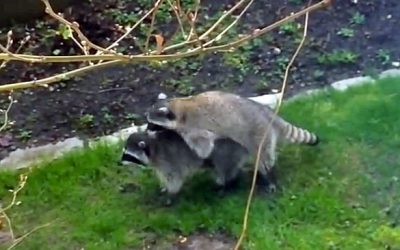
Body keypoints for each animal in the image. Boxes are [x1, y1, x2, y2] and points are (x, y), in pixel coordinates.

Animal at [120, 123, 248, 205]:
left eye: (129, 156)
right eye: (124, 153)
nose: (119, 163)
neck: (153, 145)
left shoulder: (167, 159)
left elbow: (174, 177)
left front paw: (171, 193)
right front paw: (164, 187)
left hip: (225, 149)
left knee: (224, 167)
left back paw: (226, 183)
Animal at [145, 91, 320, 192]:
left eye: (151, 123)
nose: (147, 129)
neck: (178, 105)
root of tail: (268, 114)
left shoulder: (194, 128)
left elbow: (203, 149)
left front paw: (171, 133)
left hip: (259, 134)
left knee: (264, 159)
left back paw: (270, 176)